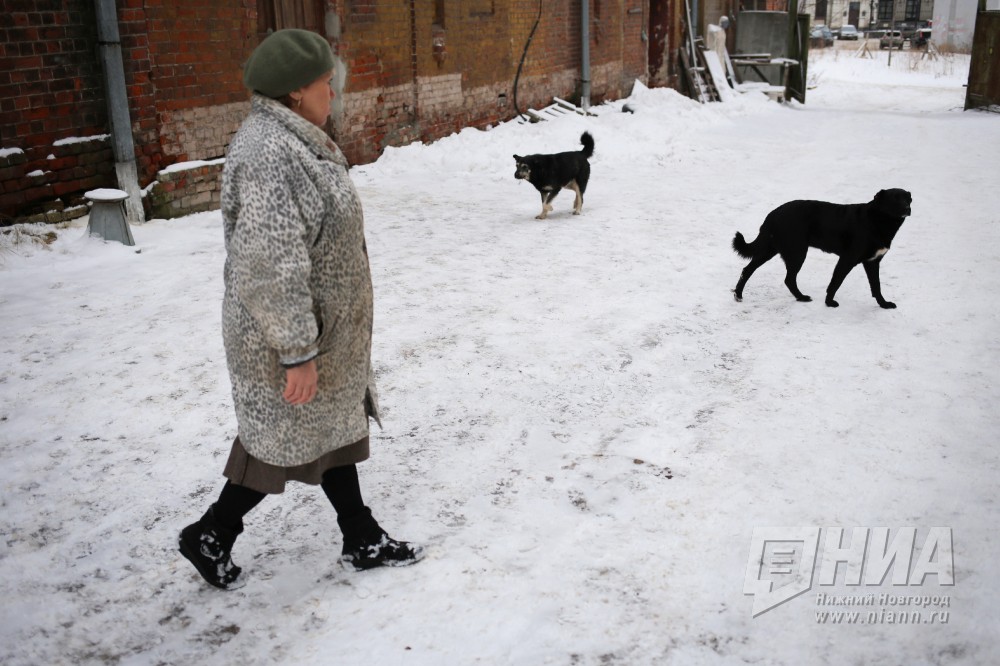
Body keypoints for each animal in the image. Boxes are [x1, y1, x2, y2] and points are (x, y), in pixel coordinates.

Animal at [732, 188, 912, 308]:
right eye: (894, 199)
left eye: (907, 199)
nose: (907, 209)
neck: (877, 220)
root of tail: (772, 215)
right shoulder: (847, 258)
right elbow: (835, 282)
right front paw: (829, 302)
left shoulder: (872, 262)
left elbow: (876, 286)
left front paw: (884, 304)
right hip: (796, 252)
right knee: (788, 278)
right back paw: (801, 297)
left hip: (772, 249)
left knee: (748, 269)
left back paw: (739, 295)